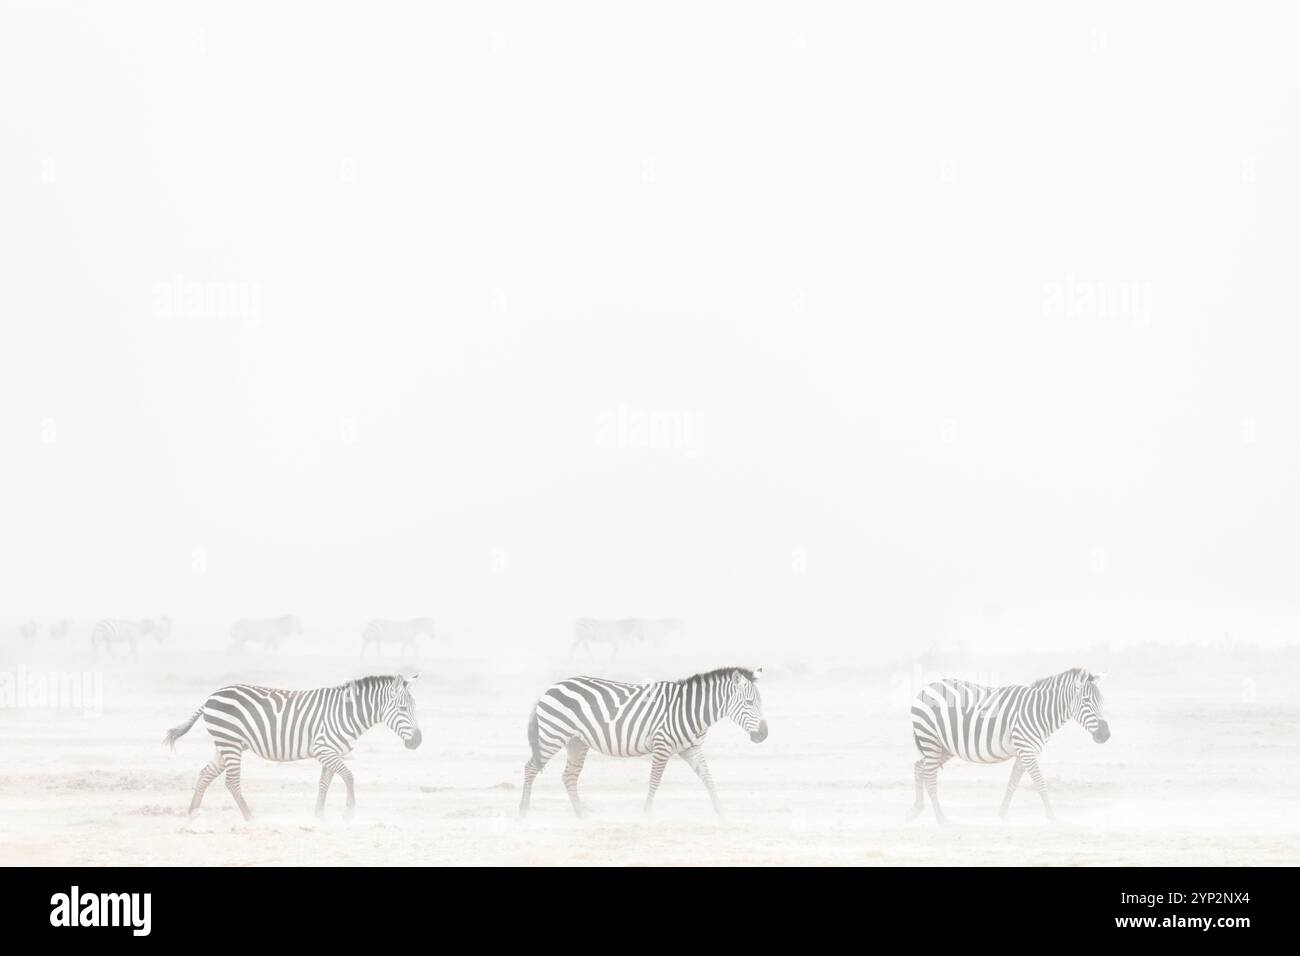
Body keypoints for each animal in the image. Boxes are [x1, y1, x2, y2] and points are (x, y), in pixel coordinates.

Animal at [159, 671, 418, 822]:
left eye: (416, 708)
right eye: (403, 709)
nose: (418, 741)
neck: (345, 713)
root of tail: (210, 697)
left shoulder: (331, 751)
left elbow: (325, 783)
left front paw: (319, 815)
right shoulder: (324, 749)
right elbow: (349, 776)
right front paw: (349, 811)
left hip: (225, 744)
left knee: (205, 773)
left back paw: (193, 812)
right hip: (230, 742)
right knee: (231, 782)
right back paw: (249, 816)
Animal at [517, 665, 764, 816]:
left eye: (760, 703)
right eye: (750, 703)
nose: (764, 735)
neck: (690, 710)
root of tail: (550, 688)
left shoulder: (691, 748)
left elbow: (708, 778)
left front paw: (722, 812)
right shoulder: (662, 745)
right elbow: (654, 780)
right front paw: (648, 813)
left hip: (576, 742)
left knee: (568, 776)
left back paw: (581, 815)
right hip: (552, 735)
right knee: (530, 768)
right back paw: (523, 811)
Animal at [909, 665, 1112, 822]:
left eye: (1102, 701)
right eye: (1086, 701)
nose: (1106, 735)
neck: (1039, 711)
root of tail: (925, 688)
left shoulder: (1024, 751)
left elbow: (1012, 783)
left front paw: (1003, 815)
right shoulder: (1027, 750)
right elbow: (1040, 783)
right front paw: (1052, 817)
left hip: (944, 746)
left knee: (919, 767)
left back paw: (916, 810)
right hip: (930, 739)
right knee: (930, 776)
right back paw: (941, 819)